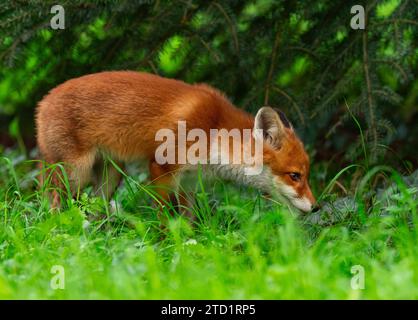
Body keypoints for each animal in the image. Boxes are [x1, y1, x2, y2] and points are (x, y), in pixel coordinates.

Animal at [36, 71, 316, 214]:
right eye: (295, 176)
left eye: (305, 175)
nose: (316, 207)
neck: (214, 130)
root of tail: (44, 100)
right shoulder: (161, 168)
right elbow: (163, 218)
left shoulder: (189, 182)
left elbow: (188, 222)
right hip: (75, 174)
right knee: (51, 201)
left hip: (110, 178)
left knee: (92, 209)